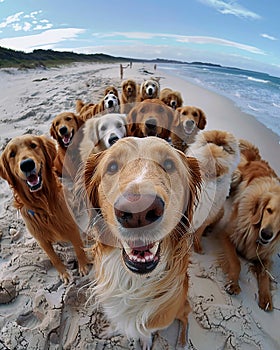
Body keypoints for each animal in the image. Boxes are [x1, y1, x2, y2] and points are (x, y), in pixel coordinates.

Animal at [0, 134, 89, 284]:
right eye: (12, 154)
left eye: (33, 145)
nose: (27, 164)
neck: (43, 204)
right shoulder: (41, 240)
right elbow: (54, 258)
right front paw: (64, 274)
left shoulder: (71, 228)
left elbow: (79, 248)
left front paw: (83, 267)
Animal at [221, 139, 280, 312]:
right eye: (269, 210)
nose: (266, 234)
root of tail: (258, 159)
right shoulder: (227, 234)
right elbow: (236, 262)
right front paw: (233, 284)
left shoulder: (265, 255)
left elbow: (265, 275)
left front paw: (266, 298)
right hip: (236, 175)